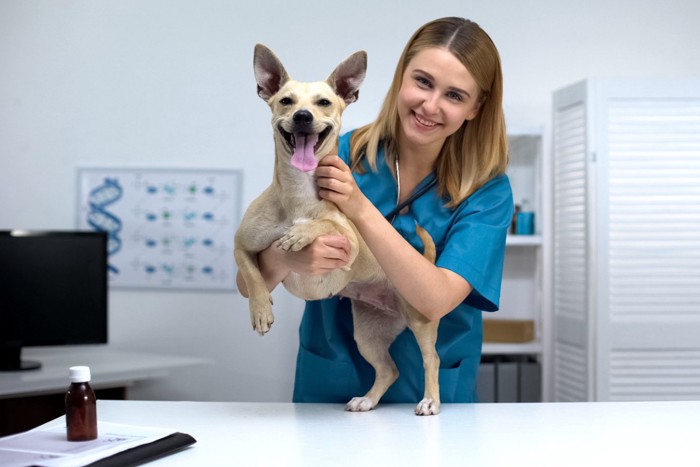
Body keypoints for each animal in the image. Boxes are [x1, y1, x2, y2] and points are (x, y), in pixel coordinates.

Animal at [235, 44, 442, 416]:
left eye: (323, 102)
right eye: (286, 101)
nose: (303, 116)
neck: (298, 194)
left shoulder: (349, 240)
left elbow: (326, 223)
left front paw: (300, 234)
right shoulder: (240, 245)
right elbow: (252, 274)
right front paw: (260, 311)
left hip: (421, 320)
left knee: (432, 360)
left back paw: (430, 400)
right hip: (368, 335)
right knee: (389, 370)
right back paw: (368, 399)